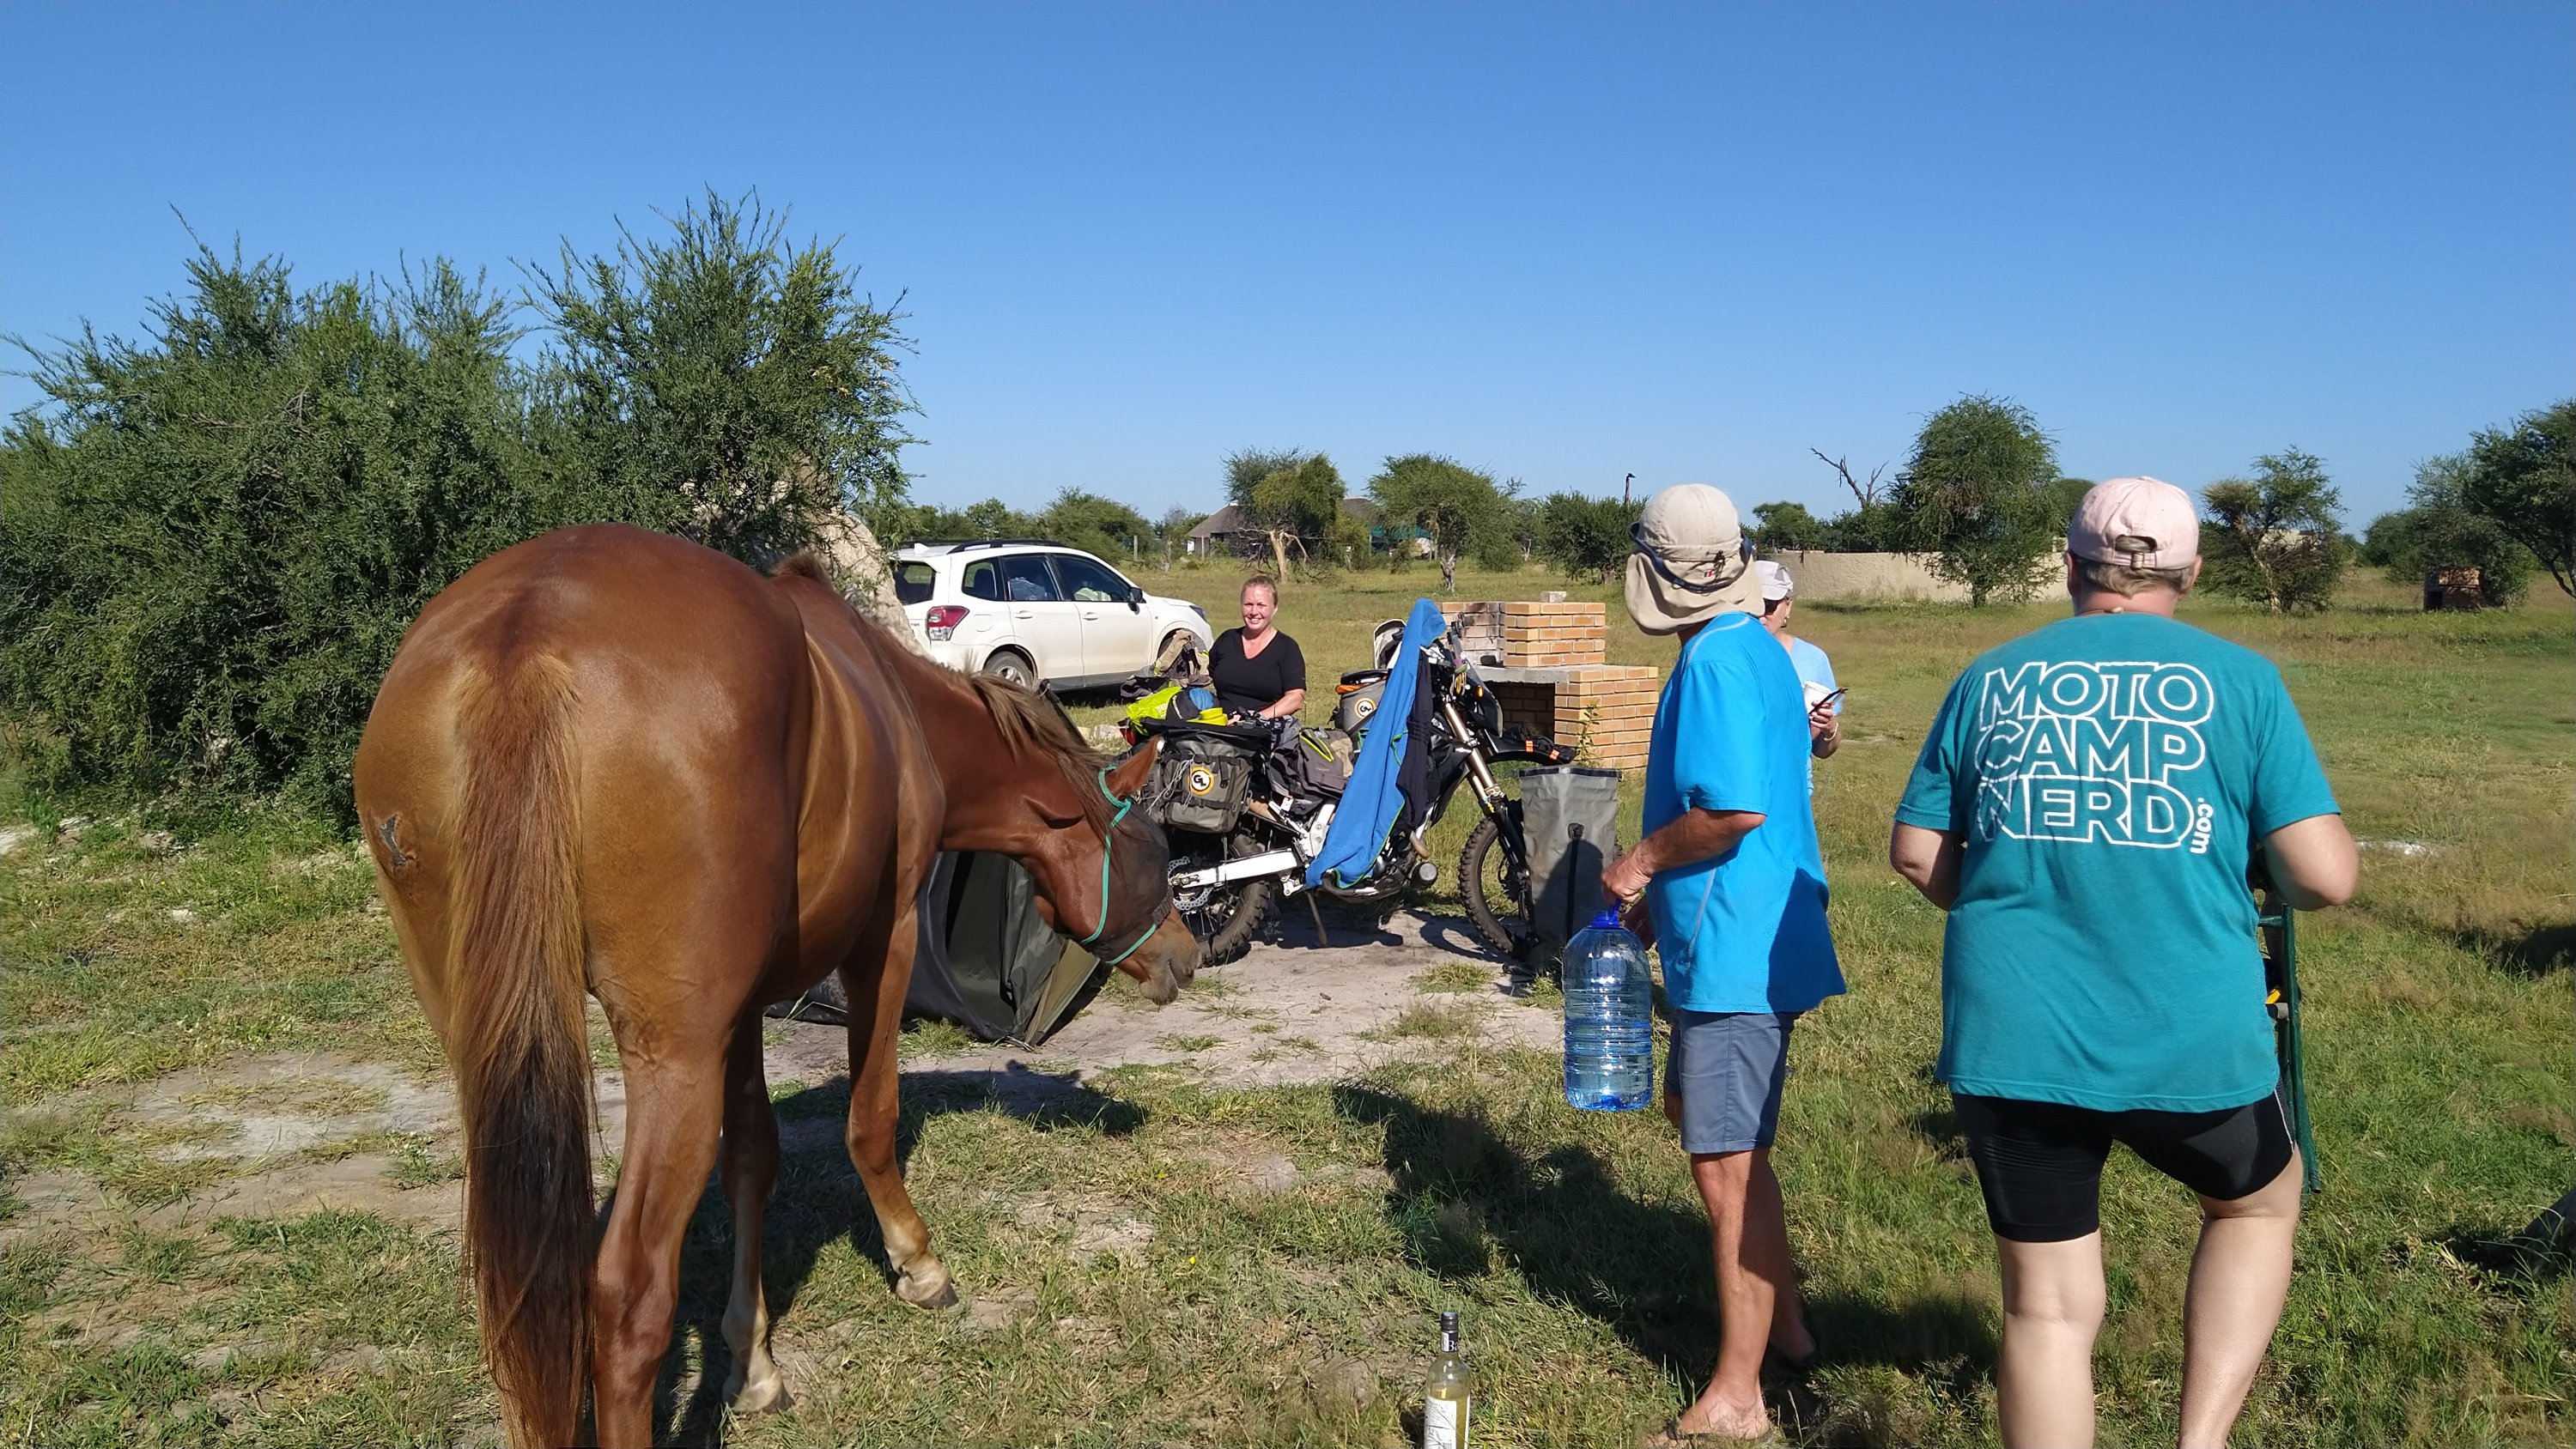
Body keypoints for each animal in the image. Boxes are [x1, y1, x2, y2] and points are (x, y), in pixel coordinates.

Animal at [352, 523, 1195, 1447]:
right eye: (1154, 851)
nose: (1186, 957)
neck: (899, 707)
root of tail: (525, 636)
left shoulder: (745, 1005)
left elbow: (753, 1158)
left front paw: (751, 1361)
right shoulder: (881, 944)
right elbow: (870, 1121)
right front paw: (917, 1262)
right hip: (673, 1058)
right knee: (628, 1294)